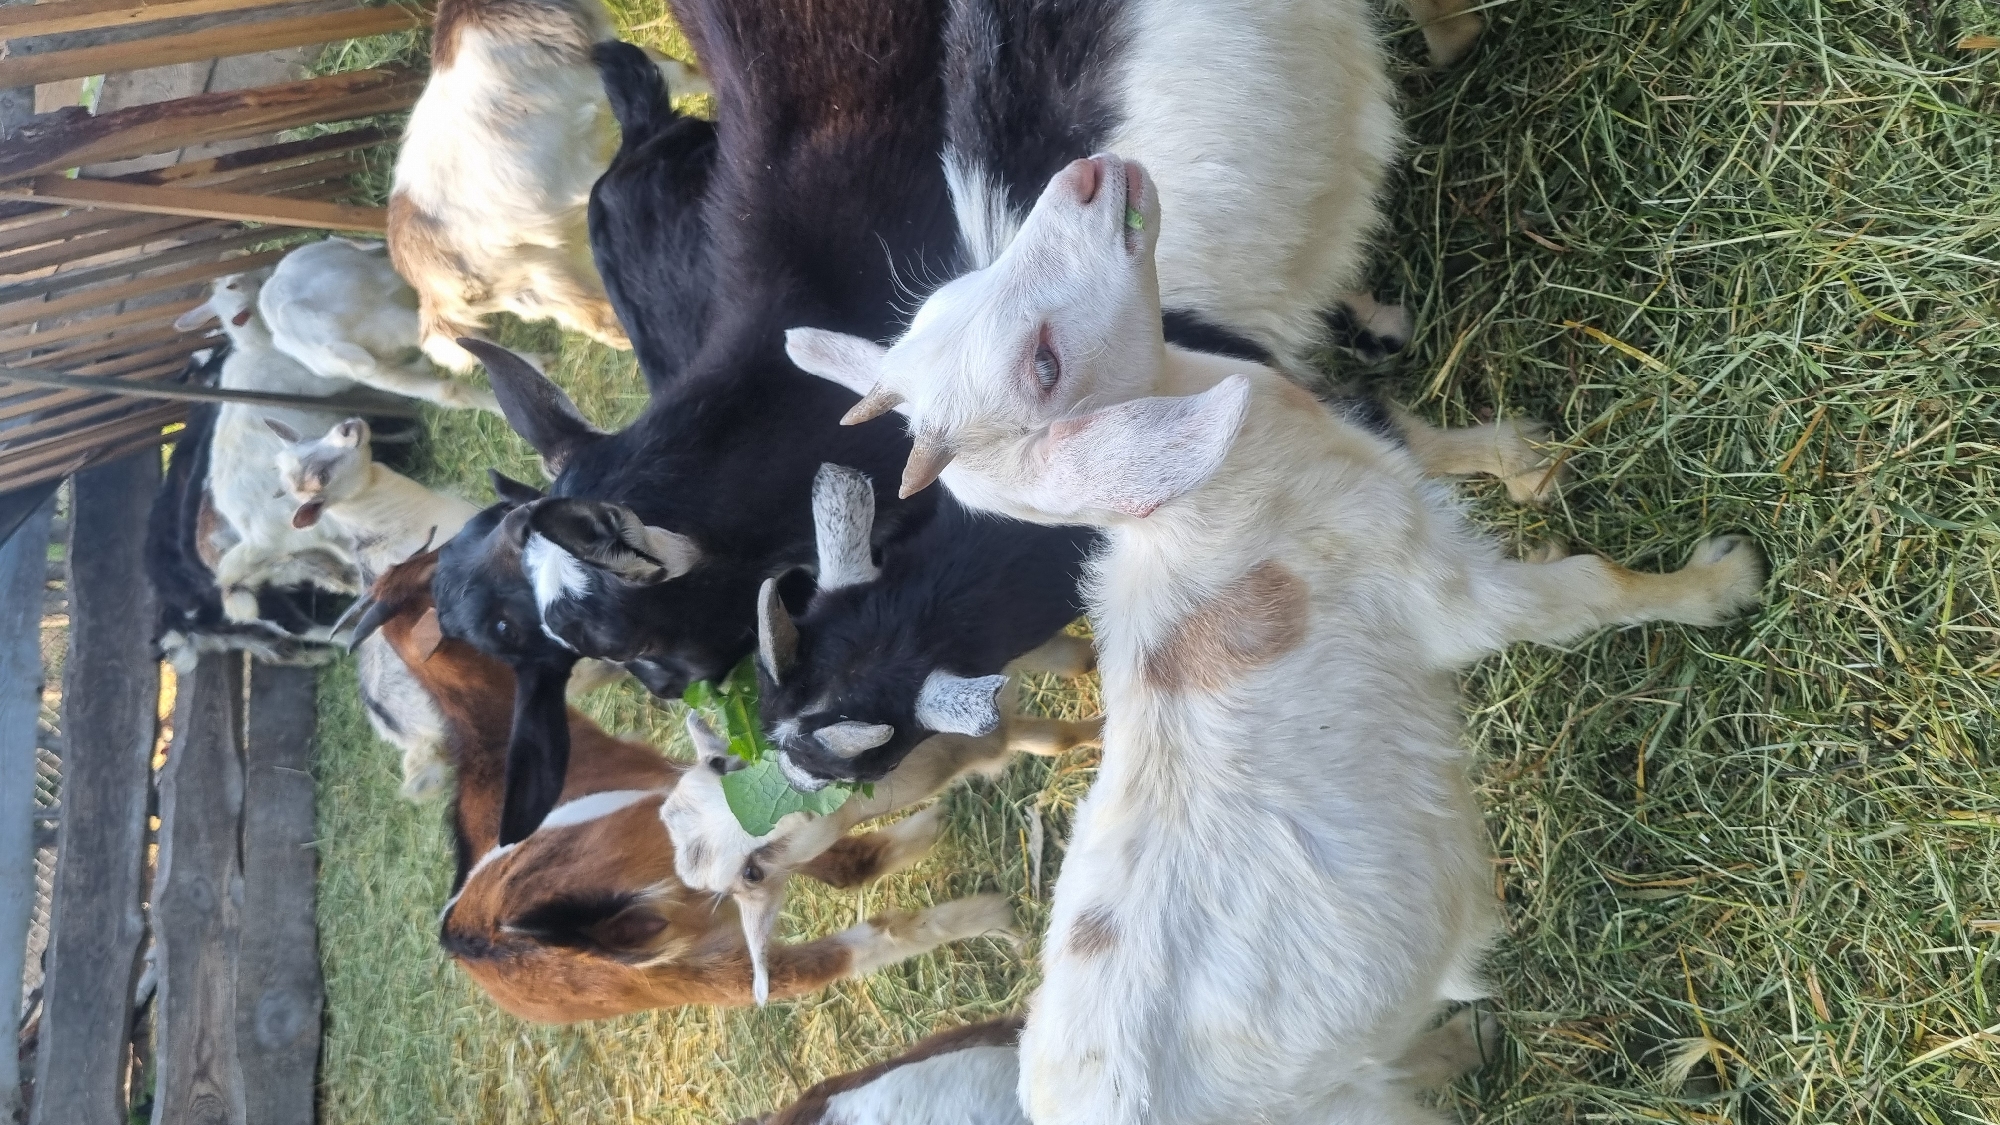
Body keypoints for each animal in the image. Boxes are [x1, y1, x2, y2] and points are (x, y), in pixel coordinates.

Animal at [387, 0, 709, 370]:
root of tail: (428, 290)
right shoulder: (594, 73)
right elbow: (682, 74)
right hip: (540, 274)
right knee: (606, 318)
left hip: (540, 287)